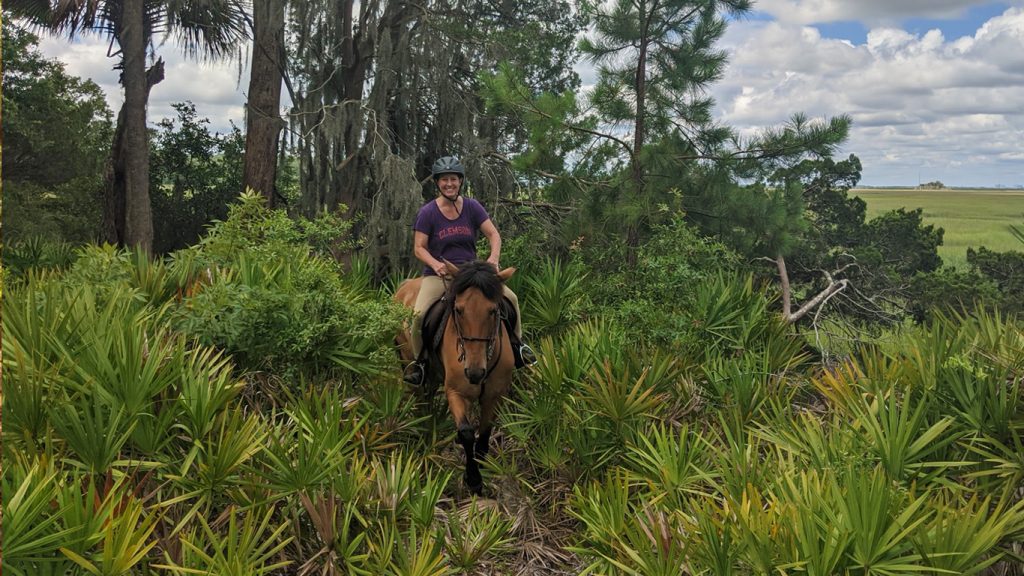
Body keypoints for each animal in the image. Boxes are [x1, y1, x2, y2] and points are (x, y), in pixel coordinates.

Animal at [395, 260, 516, 494]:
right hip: (408, 362)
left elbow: (484, 436)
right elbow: (467, 432)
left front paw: (480, 469)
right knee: (418, 398)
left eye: (493, 310)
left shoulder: (494, 395)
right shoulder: (456, 392)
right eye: (459, 310)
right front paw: (473, 479)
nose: (475, 373)